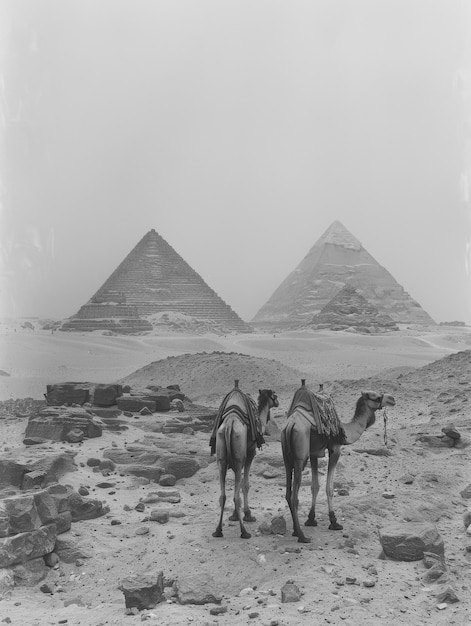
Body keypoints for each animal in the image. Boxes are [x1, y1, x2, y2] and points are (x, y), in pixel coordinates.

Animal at [213, 380, 280, 536]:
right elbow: (245, 484)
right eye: (274, 395)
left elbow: (236, 486)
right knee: (236, 493)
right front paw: (247, 514)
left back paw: (218, 530)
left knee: (222, 495)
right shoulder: (250, 453)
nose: (278, 402)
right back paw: (244, 532)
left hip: (222, 458)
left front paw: (234, 515)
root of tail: (229, 424)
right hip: (239, 459)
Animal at [282, 380, 396, 540]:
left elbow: (315, 486)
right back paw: (302, 536)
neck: (345, 431)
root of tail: (290, 425)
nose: (392, 399)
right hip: (300, 456)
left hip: (287, 455)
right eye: (376, 396)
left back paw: (294, 531)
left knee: (288, 492)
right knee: (294, 496)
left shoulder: (314, 453)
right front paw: (334, 521)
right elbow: (329, 488)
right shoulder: (335, 449)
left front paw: (311, 519)